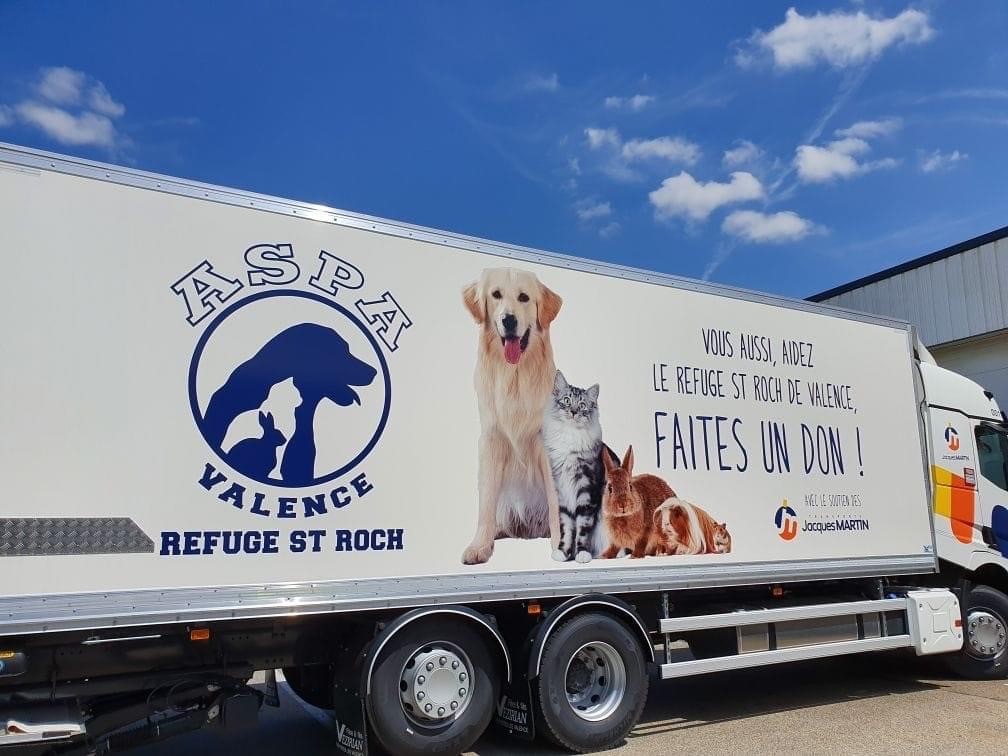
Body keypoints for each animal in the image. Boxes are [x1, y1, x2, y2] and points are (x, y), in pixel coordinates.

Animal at [461, 266, 564, 564]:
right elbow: (486, 500)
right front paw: (480, 546)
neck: (515, 377)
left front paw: (561, 545)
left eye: (524, 298)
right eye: (496, 295)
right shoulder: (491, 439)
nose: (508, 320)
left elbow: (556, 500)